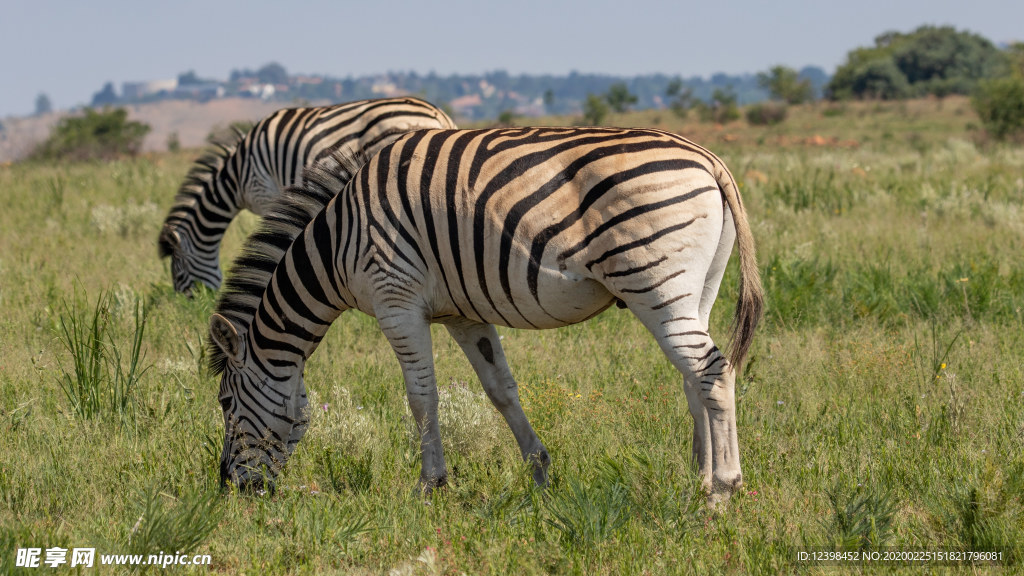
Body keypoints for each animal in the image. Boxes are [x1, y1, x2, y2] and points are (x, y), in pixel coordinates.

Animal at [207, 127, 765, 504]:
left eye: (226, 403)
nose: (229, 489)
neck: (339, 242)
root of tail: (707, 158)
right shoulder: (462, 313)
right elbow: (500, 390)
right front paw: (540, 473)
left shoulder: (396, 300)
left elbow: (421, 396)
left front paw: (430, 485)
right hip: (694, 290)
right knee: (695, 377)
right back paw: (697, 480)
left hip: (654, 281)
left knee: (712, 371)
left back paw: (722, 492)